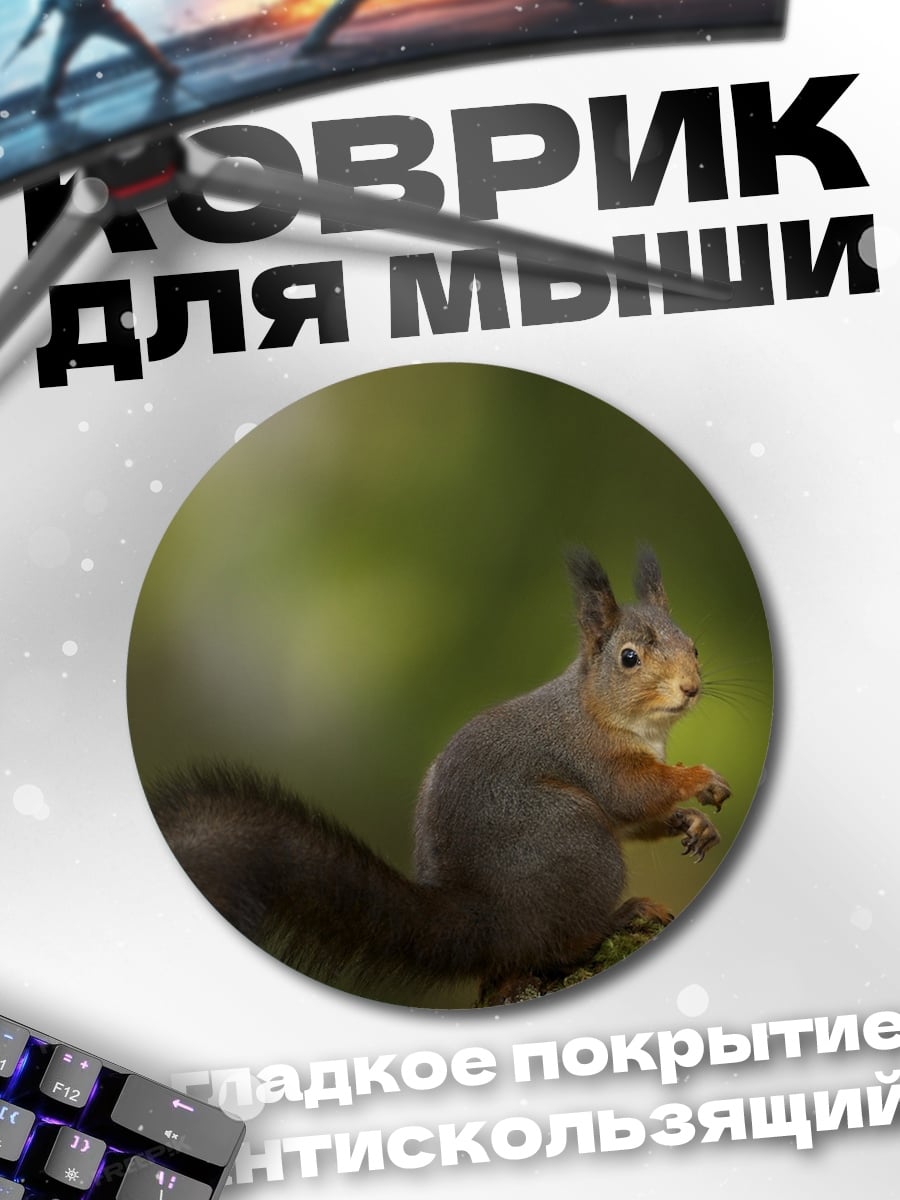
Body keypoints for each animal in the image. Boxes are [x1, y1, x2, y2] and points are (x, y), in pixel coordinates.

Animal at [147, 546, 730, 1003]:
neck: (612, 715)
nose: (690, 688)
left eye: (695, 648)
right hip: (574, 840)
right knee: (560, 943)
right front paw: (699, 778)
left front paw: (693, 823)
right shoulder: (592, 757)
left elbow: (641, 818)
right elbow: (632, 795)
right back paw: (622, 916)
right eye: (629, 658)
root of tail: (486, 919)